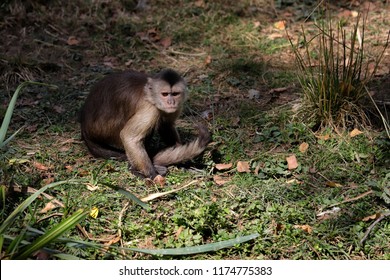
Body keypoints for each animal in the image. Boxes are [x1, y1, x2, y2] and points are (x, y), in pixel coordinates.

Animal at [79, 68, 210, 178]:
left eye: (175, 94)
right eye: (165, 94)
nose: (171, 102)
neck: (151, 95)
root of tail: (84, 128)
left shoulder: (177, 105)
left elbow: (166, 125)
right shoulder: (150, 108)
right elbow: (129, 137)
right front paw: (152, 174)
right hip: (105, 132)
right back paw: (134, 168)